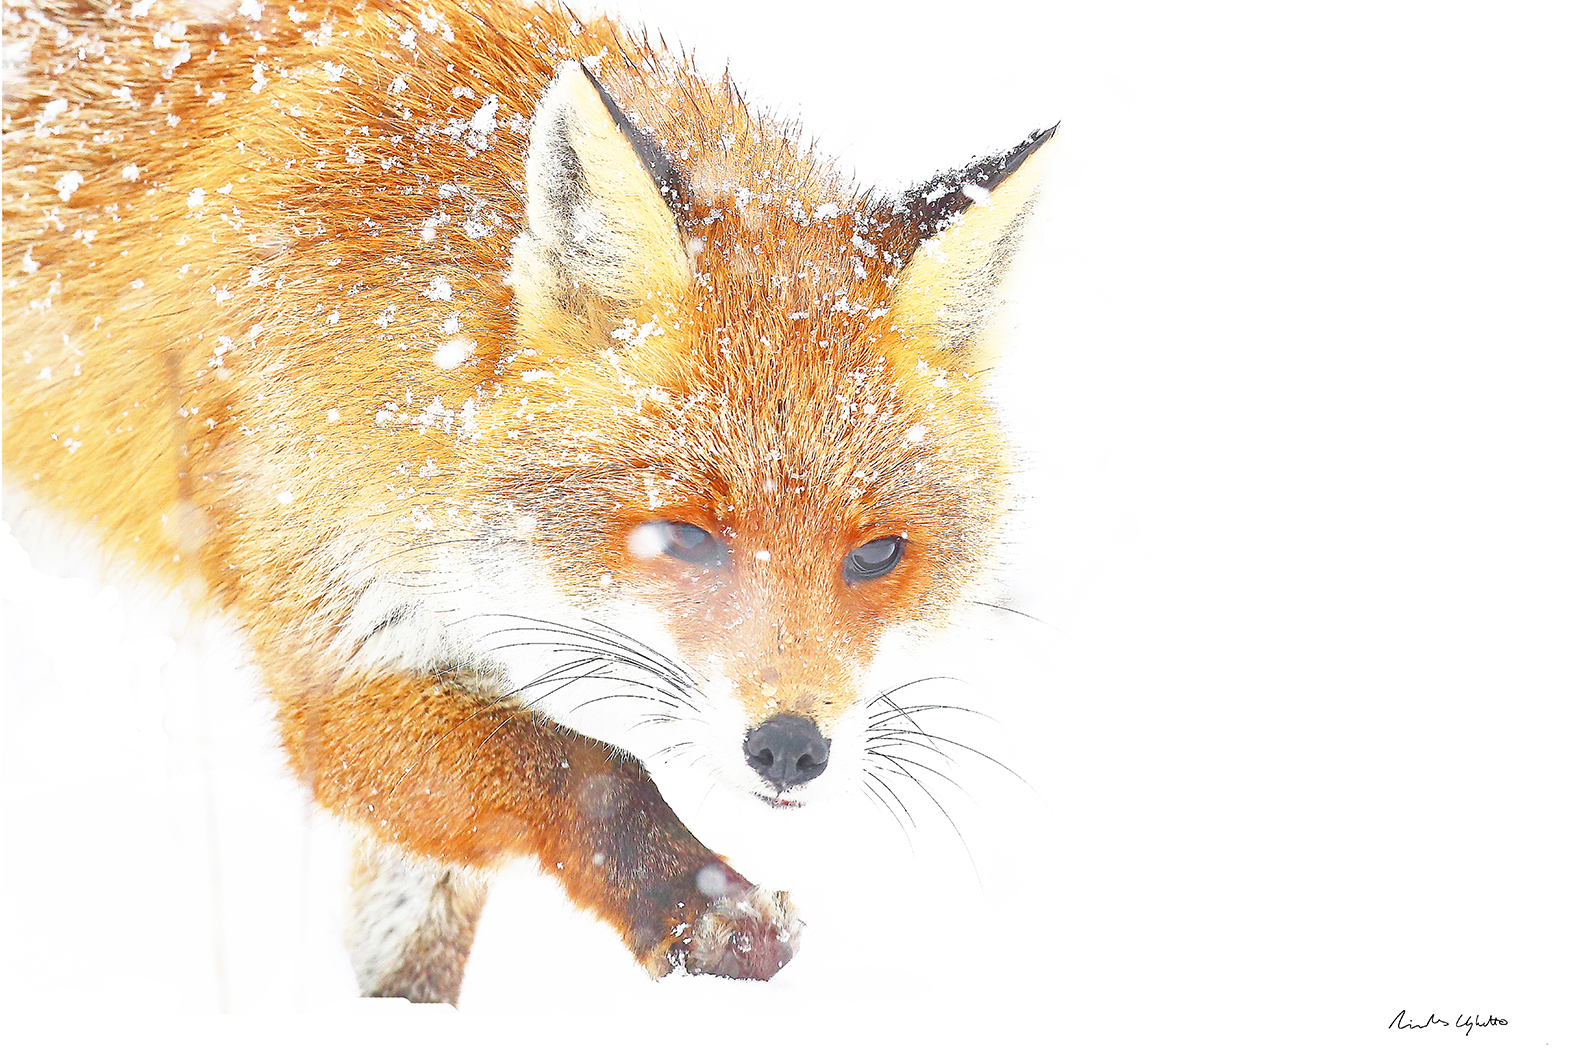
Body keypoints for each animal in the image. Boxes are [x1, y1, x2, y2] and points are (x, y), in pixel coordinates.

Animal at [2, 0, 1053, 1004]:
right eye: (681, 536)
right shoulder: (334, 658)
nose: (791, 750)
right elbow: (584, 770)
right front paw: (704, 909)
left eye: (876, 555)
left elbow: (413, 945)